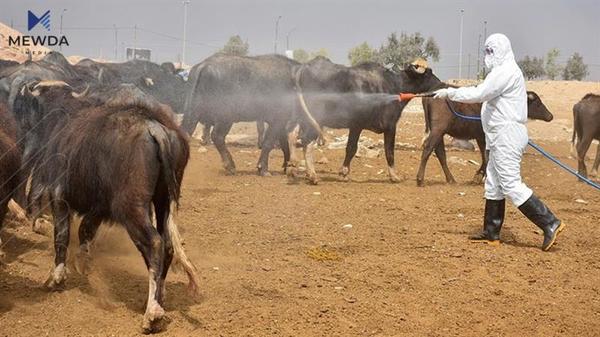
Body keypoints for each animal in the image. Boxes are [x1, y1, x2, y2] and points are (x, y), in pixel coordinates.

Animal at [418, 90, 552, 186]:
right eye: (538, 103)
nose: (550, 116)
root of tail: (430, 96)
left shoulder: (481, 138)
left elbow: (485, 157)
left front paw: (478, 176)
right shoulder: (486, 137)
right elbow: (487, 157)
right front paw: (481, 177)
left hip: (439, 133)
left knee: (440, 153)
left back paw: (451, 180)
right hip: (437, 130)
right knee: (428, 149)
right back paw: (420, 179)